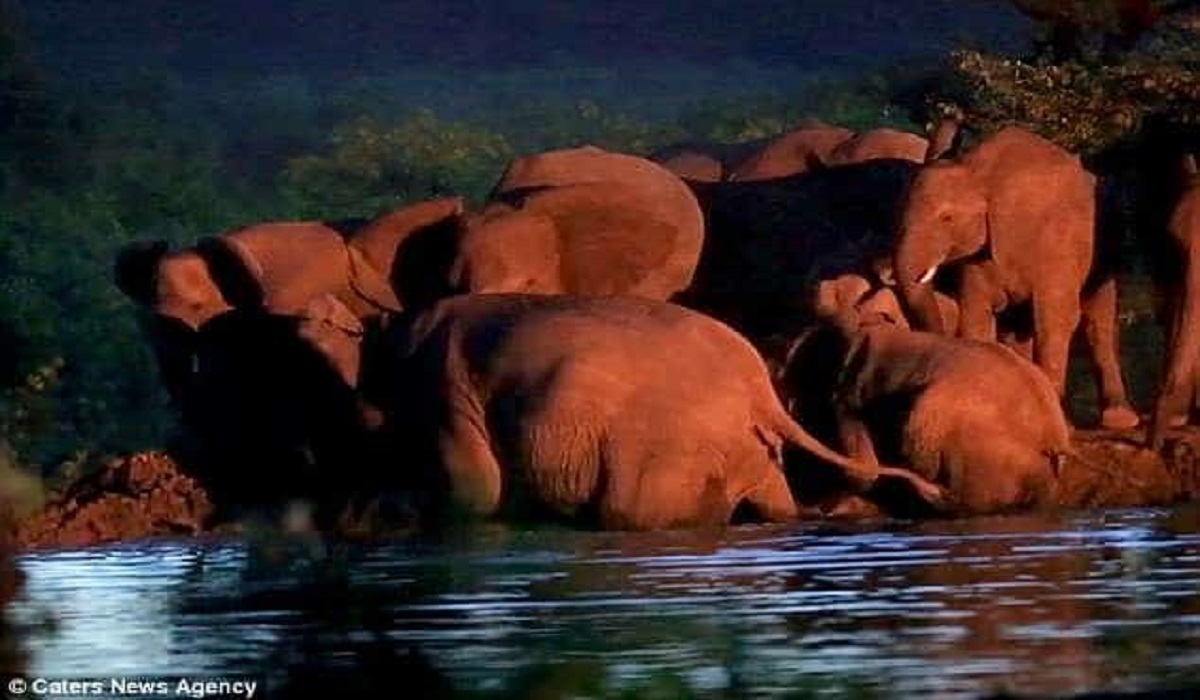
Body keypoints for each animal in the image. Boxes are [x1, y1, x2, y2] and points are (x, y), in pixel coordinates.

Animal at [374, 292, 945, 528]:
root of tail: (758, 387)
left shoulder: (446, 387)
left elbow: (475, 493)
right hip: (741, 448)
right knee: (775, 504)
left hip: (671, 450)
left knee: (626, 512)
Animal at [897, 127, 1137, 429]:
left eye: (947, 218)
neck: (979, 172)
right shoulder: (978, 253)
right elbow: (977, 315)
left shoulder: (1057, 241)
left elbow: (1055, 319)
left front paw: (1063, 424)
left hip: (1104, 249)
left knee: (1098, 323)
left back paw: (1120, 419)